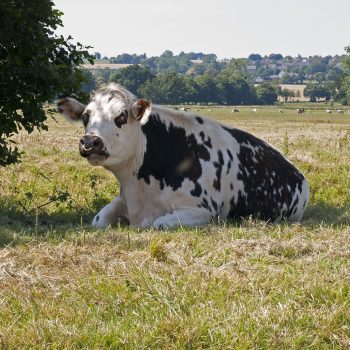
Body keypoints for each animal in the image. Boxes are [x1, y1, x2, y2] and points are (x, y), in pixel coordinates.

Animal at [56, 83, 308, 228]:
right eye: (85, 116)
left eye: (121, 116)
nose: (90, 142)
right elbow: (97, 221)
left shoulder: (203, 211)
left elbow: (158, 224)